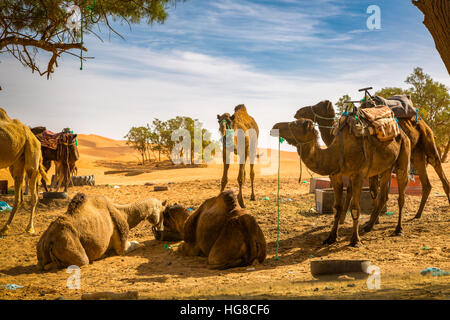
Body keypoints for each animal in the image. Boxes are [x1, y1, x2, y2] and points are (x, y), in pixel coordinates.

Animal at [0, 107, 49, 235]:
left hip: (32, 153)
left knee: (33, 195)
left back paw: (30, 228)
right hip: (17, 161)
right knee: (19, 197)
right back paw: (5, 227)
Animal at [36, 192, 167, 270]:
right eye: (162, 211)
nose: (160, 229)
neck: (124, 213)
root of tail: (49, 242)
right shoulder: (122, 246)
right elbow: (134, 245)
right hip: (71, 245)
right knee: (81, 261)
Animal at [270, 119, 412, 246]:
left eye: (294, 124)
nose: (274, 127)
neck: (337, 154)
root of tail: (402, 133)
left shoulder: (357, 176)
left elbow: (355, 208)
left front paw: (355, 240)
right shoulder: (335, 176)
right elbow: (337, 208)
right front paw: (331, 237)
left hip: (403, 157)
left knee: (401, 195)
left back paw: (398, 229)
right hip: (385, 167)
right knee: (381, 195)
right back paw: (368, 226)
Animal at [296, 99, 450, 221]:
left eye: (316, 106)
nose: (297, 112)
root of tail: (420, 120)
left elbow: (364, 191)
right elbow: (363, 191)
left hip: (428, 144)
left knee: (439, 169)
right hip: (416, 153)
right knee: (426, 184)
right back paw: (417, 215)